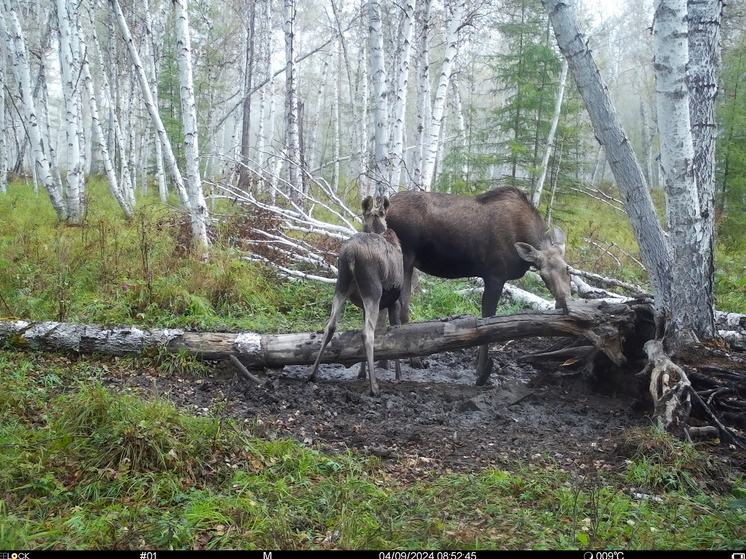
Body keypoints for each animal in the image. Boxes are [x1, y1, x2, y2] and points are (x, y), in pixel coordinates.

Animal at [306, 197, 404, 398]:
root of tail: (350, 254)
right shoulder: (395, 301)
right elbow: (395, 332)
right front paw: (398, 375)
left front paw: (361, 373)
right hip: (373, 291)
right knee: (367, 332)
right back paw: (374, 387)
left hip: (341, 285)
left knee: (330, 327)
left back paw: (312, 374)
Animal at [384, 187, 568, 384]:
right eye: (543, 275)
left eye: (567, 269)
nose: (564, 302)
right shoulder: (494, 276)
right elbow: (488, 319)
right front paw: (481, 370)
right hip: (404, 256)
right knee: (393, 305)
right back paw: (397, 369)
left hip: (409, 263)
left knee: (402, 305)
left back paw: (407, 361)